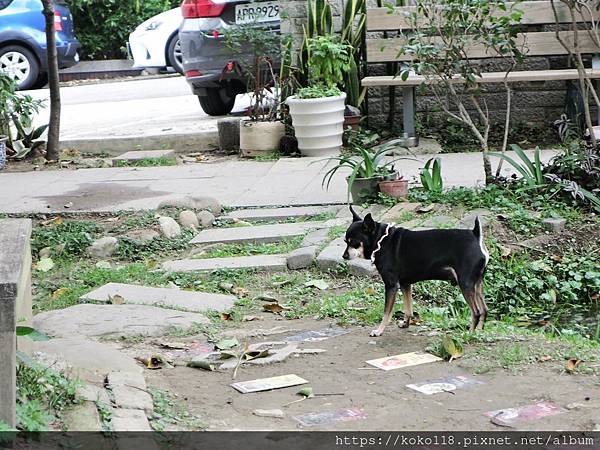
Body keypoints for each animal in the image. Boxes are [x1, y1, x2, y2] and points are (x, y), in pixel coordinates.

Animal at [340, 206, 490, 336]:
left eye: (353, 243)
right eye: (345, 241)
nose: (344, 256)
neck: (380, 240)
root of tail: (476, 235)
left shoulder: (391, 285)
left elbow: (387, 313)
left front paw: (379, 330)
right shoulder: (405, 284)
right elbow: (408, 308)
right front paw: (406, 323)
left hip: (465, 284)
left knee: (476, 312)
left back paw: (469, 333)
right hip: (477, 284)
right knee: (484, 309)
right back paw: (479, 332)